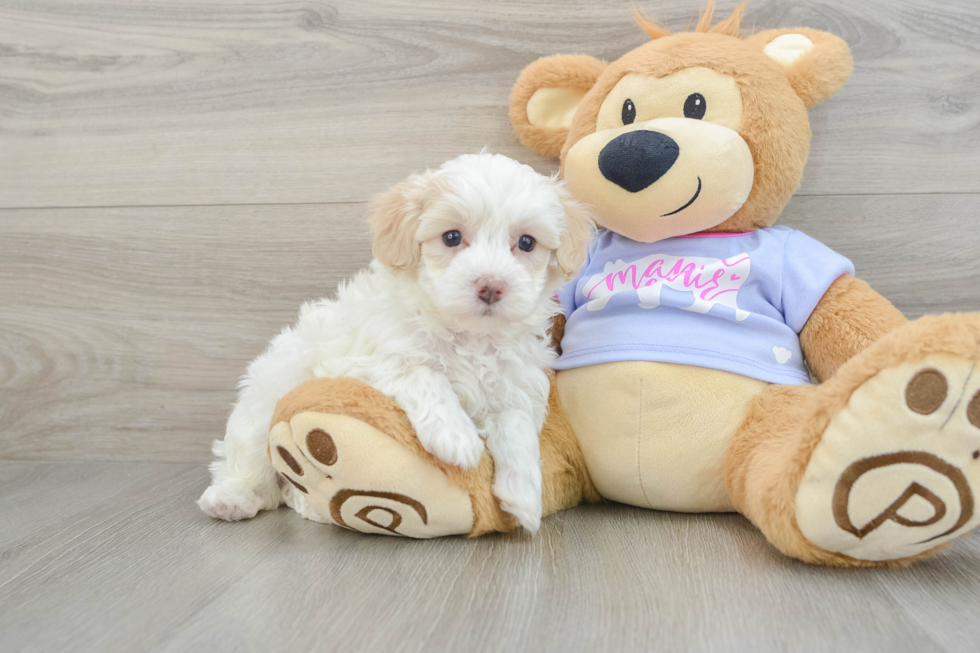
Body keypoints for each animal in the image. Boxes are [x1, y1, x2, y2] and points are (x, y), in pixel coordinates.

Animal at [196, 153, 592, 528]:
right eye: (451, 237)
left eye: (526, 242)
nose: (491, 286)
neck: (469, 334)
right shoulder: (371, 359)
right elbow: (423, 374)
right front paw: (457, 438)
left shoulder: (515, 383)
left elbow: (516, 424)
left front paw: (524, 495)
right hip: (263, 405)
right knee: (250, 463)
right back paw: (232, 498)